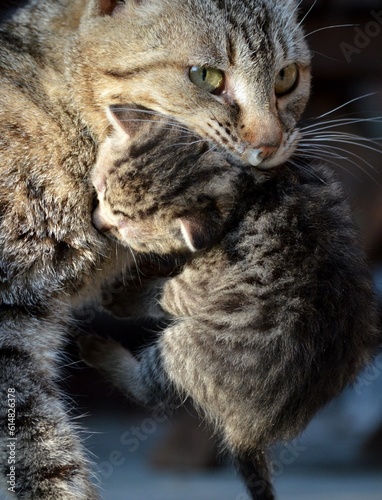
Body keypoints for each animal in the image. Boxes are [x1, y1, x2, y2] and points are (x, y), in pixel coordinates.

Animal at [80, 106, 380, 500]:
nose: (98, 223)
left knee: (151, 391)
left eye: (124, 224)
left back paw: (97, 349)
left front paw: (124, 296)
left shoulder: (200, 284)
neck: (248, 189)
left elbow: (165, 296)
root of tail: (251, 430)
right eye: (100, 189)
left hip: (187, 344)